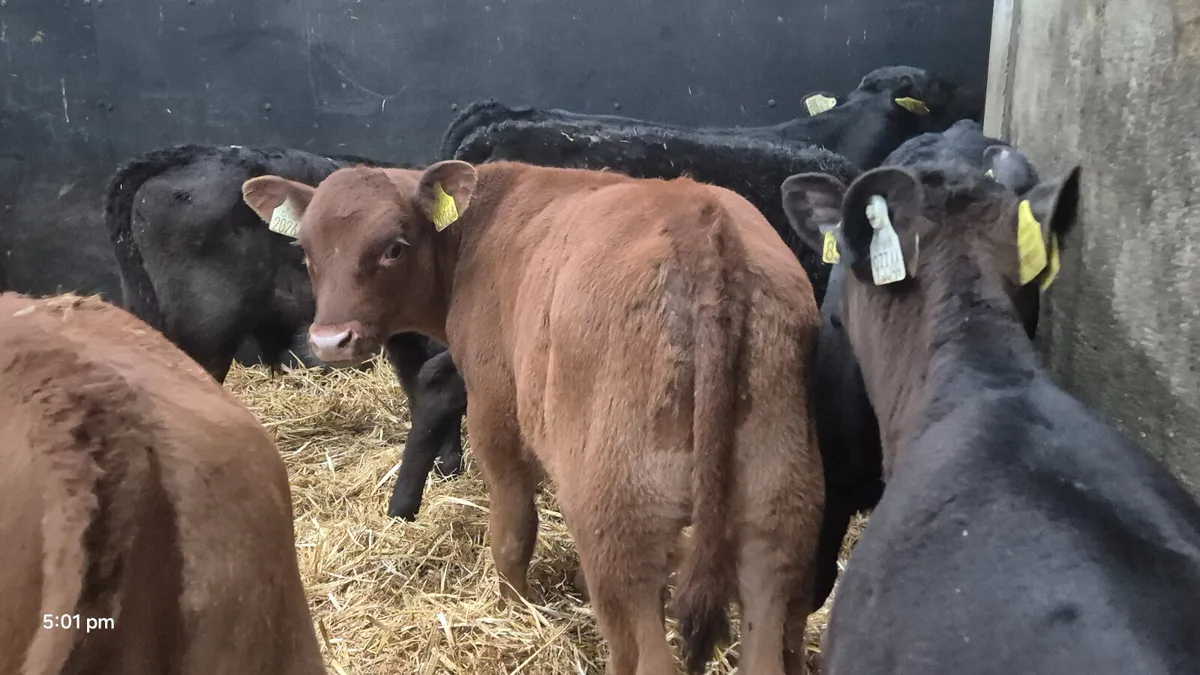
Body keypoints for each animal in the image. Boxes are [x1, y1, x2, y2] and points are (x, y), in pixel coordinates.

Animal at [241, 160, 826, 675]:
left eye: (393, 247)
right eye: (306, 251)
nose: (329, 341)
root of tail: (702, 225)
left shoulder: (496, 411)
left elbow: (513, 529)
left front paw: (511, 606)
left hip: (619, 524)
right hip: (776, 516)